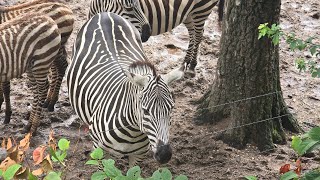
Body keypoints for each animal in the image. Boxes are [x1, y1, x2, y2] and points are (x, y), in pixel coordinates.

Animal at [67, 11, 182, 167]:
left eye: (171, 109)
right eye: (146, 111)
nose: (164, 155)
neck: (133, 131)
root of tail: (105, 14)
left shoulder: (139, 155)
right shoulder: (100, 151)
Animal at [87, 0, 222, 73]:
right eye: (129, 8)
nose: (147, 33)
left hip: (201, 10)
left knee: (198, 35)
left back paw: (192, 64)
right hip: (189, 14)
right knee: (193, 34)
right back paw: (187, 61)